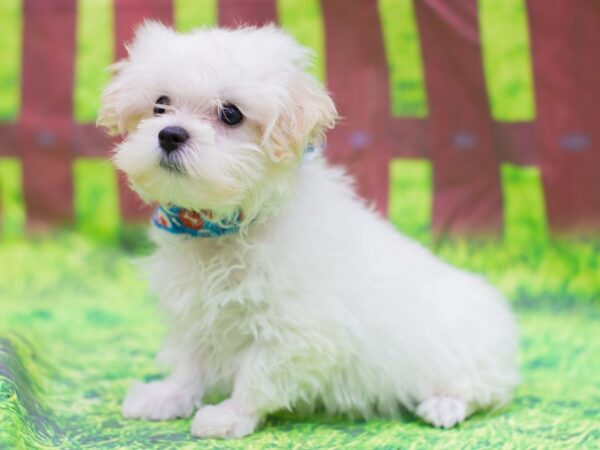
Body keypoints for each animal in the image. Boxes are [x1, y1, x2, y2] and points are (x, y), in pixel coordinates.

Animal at [98, 22, 520, 438]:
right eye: (160, 104)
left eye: (231, 114)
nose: (169, 133)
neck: (221, 227)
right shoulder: (196, 308)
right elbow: (190, 361)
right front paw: (167, 397)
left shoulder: (298, 331)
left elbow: (257, 376)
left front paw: (229, 417)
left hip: (466, 351)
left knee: (482, 389)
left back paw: (444, 405)